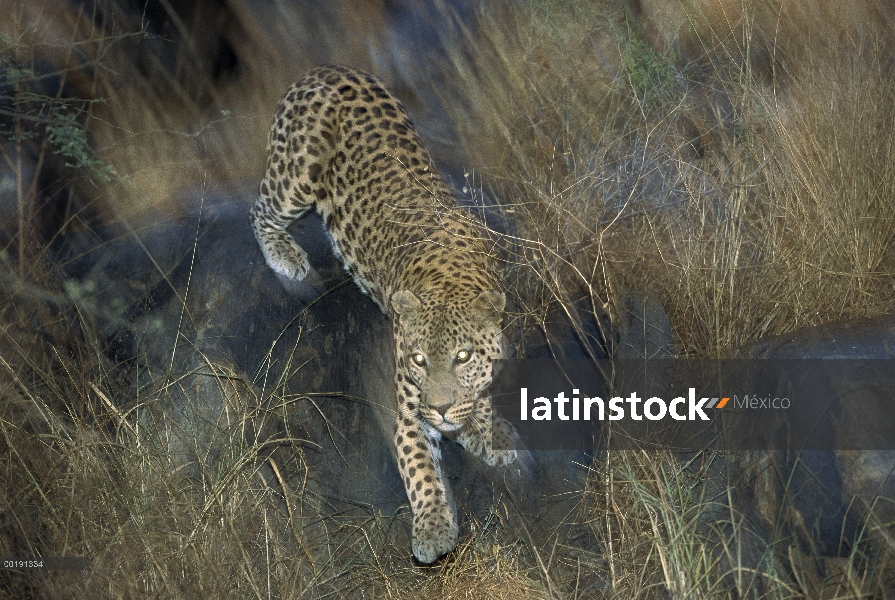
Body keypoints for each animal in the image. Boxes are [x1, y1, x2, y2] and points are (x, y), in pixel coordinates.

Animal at [248, 64, 524, 564]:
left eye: (462, 356)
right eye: (418, 360)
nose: (441, 407)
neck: (449, 276)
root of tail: (322, 69)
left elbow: (479, 401)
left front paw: (486, 432)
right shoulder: (408, 410)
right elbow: (421, 472)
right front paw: (433, 529)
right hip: (299, 173)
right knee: (260, 208)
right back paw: (286, 256)